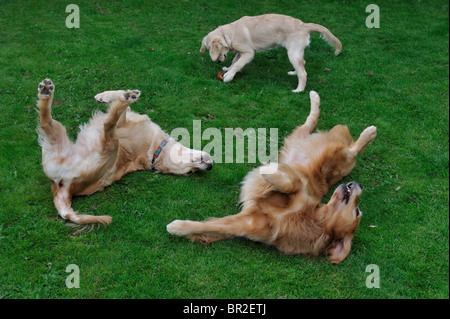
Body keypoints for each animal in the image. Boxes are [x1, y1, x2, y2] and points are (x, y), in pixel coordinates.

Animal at [200, 14, 342, 92]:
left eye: (215, 52)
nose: (218, 61)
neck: (230, 33)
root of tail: (304, 25)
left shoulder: (249, 53)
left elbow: (238, 64)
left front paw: (229, 75)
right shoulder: (241, 52)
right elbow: (235, 61)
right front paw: (228, 69)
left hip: (292, 53)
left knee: (303, 73)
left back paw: (299, 90)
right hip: (296, 53)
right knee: (302, 64)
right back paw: (294, 72)